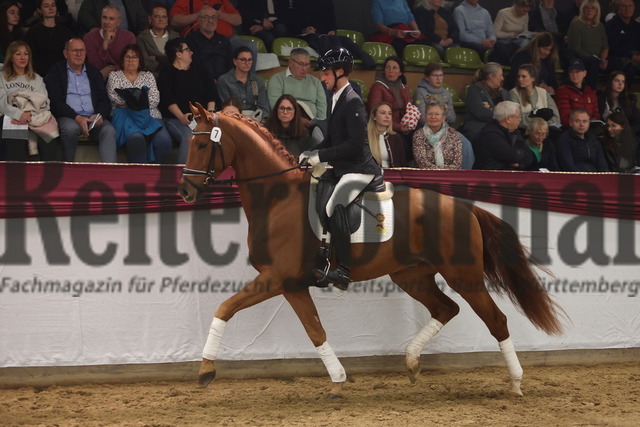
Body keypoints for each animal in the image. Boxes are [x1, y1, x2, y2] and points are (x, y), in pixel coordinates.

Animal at [178, 103, 564, 398]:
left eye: (202, 146)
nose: (184, 191)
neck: (277, 199)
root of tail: (465, 207)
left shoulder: (276, 278)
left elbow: (225, 308)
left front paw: (205, 370)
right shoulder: (292, 285)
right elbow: (315, 331)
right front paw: (337, 382)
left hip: (463, 276)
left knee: (496, 320)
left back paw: (515, 383)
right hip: (412, 276)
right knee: (447, 308)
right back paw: (411, 362)